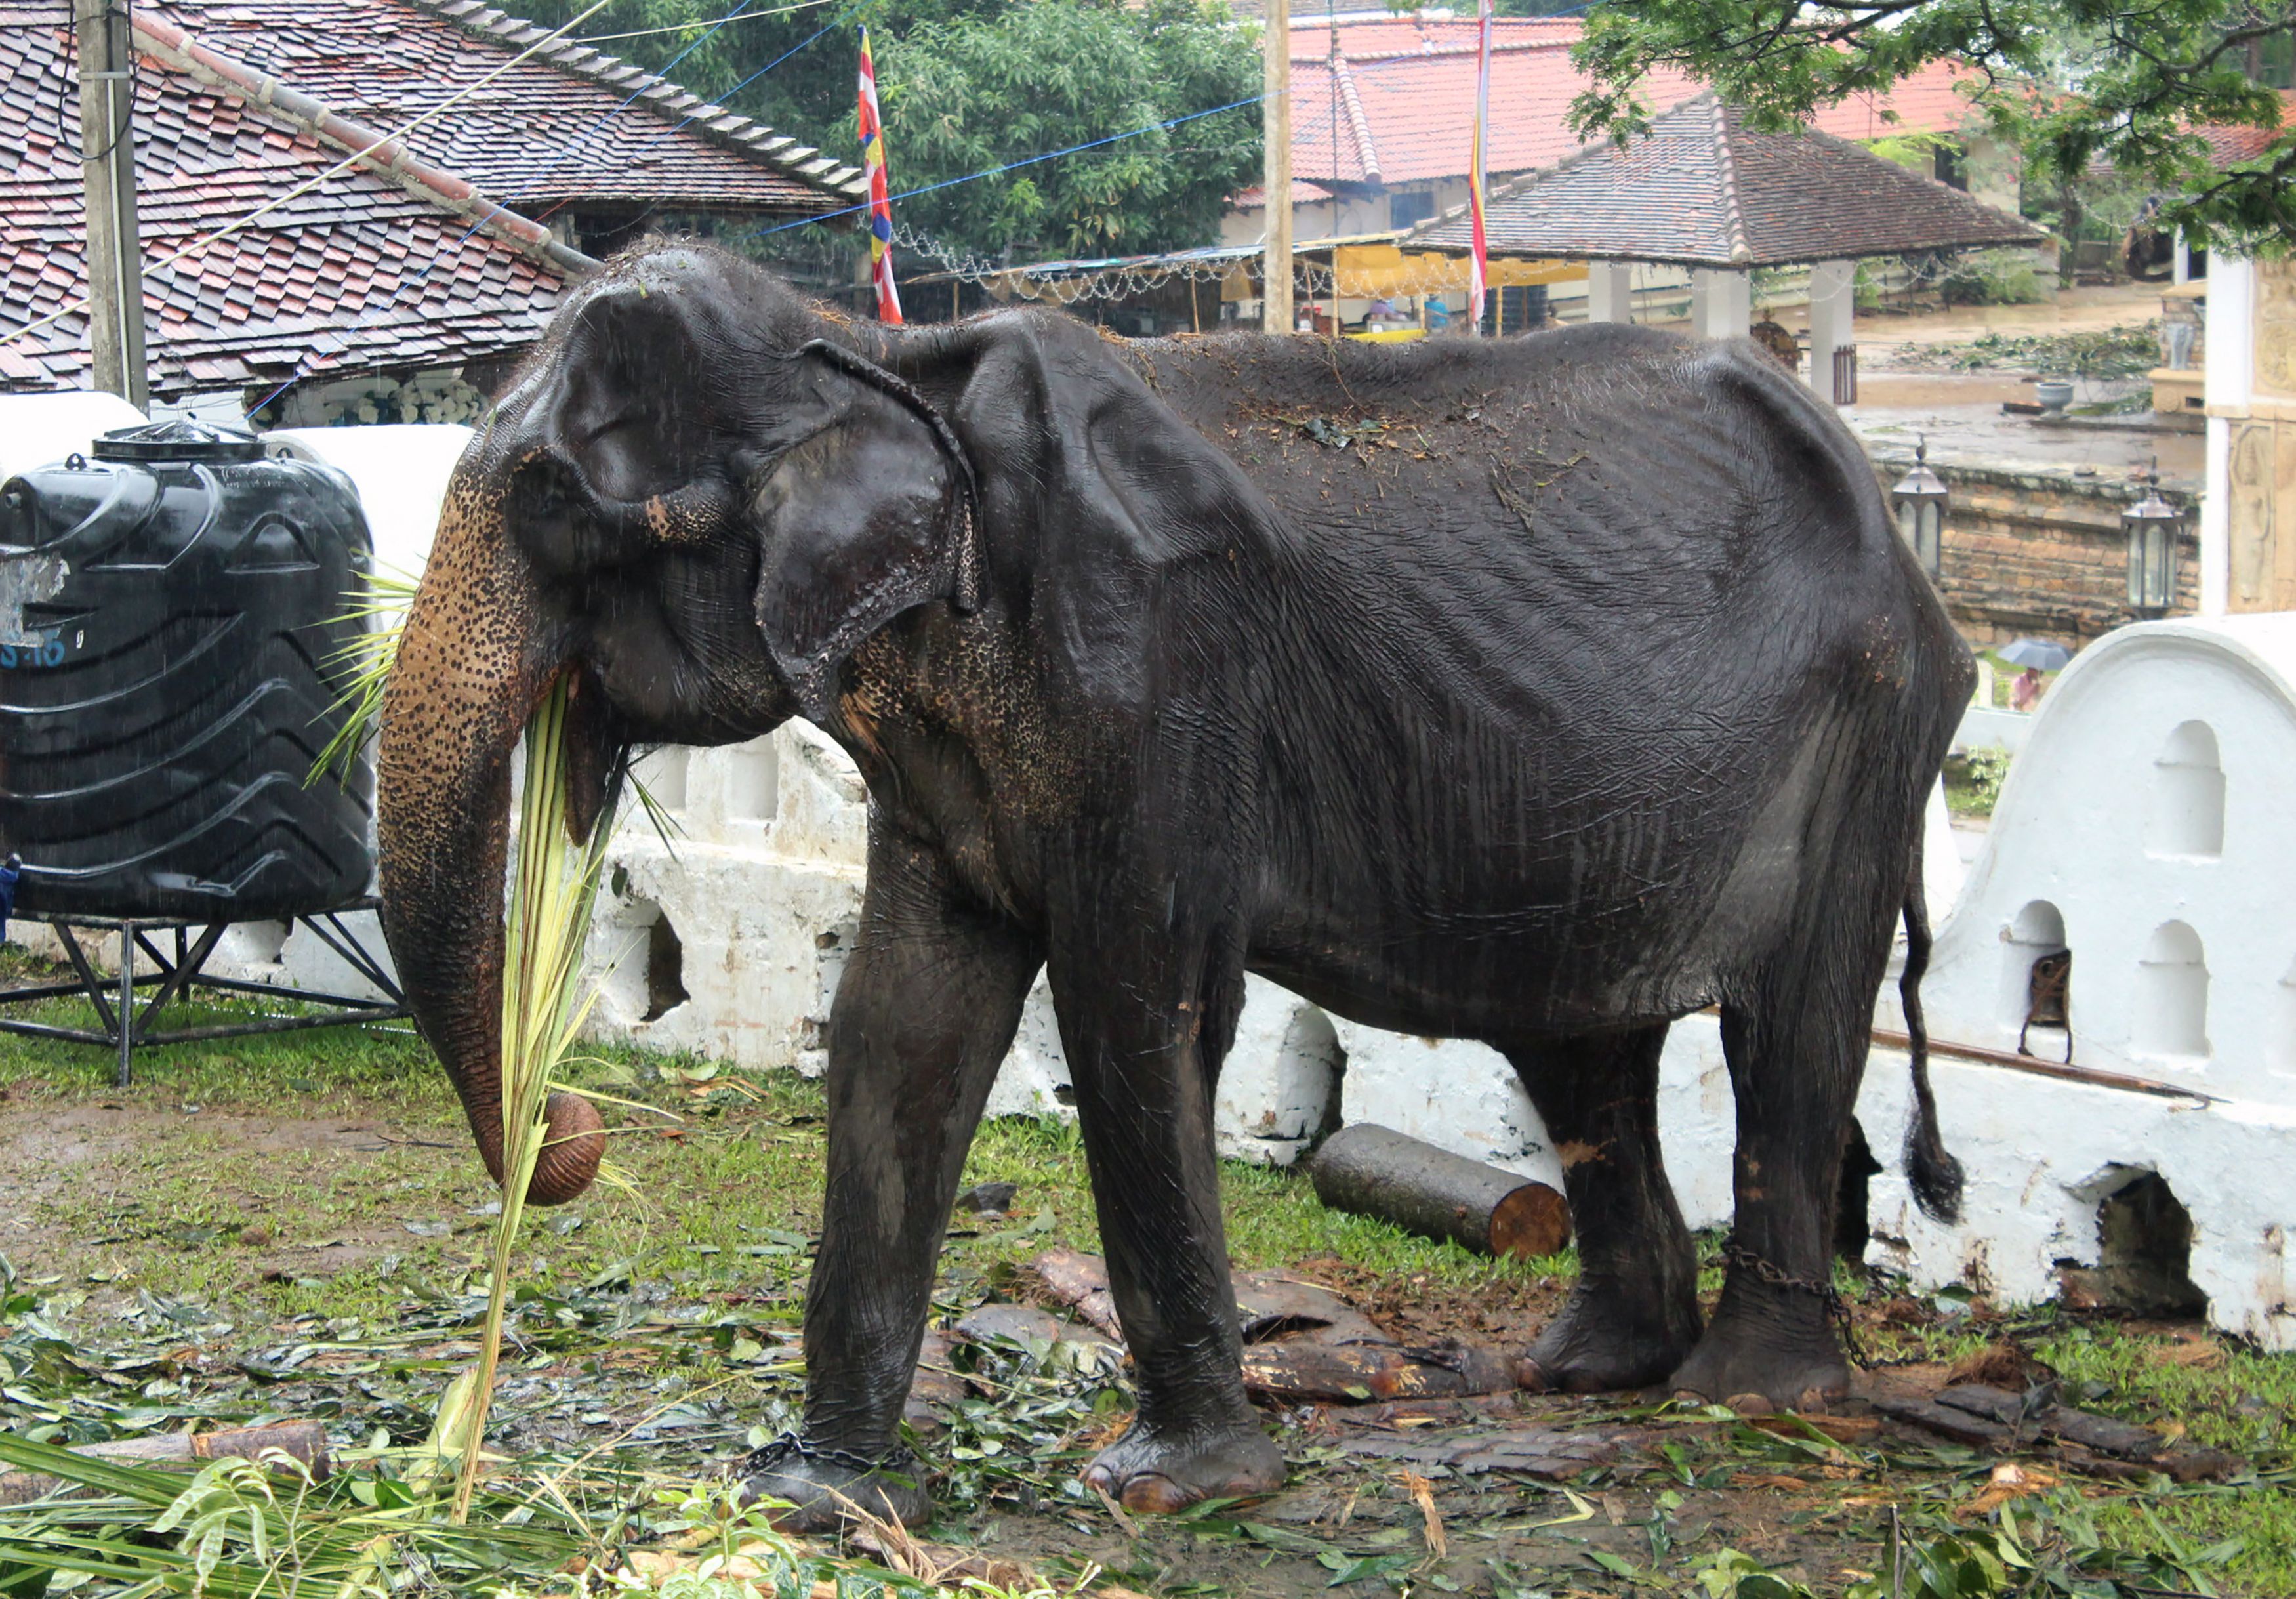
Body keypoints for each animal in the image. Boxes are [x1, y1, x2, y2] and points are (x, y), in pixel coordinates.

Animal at [377, 243, 1975, 1534]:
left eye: (553, 503)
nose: (573, 1129)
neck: (877, 357)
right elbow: (900, 1026)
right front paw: (819, 1498)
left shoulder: (1156, 681)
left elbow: (1139, 1015)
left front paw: (1170, 1490)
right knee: (1580, 1048)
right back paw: (1587, 1373)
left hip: (1867, 737)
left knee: (1790, 1032)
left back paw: (1748, 1398)